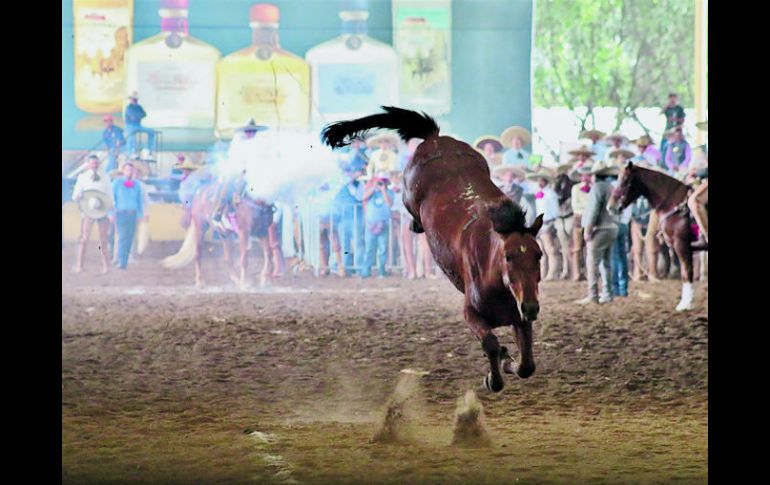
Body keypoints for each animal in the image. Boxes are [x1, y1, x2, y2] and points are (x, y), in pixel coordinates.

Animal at [322, 106, 545, 393]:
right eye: (508, 257)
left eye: (538, 255)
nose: (531, 306)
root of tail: (435, 138)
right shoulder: (471, 313)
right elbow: (491, 344)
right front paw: (494, 376)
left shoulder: (520, 318)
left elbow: (526, 364)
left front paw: (508, 360)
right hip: (408, 194)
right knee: (411, 211)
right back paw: (416, 224)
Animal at [609, 162, 705, 311]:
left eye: (625, 181)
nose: (611, 207)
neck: (674, 204)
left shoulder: (681, 245)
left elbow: (686, 271)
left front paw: (686, 304)